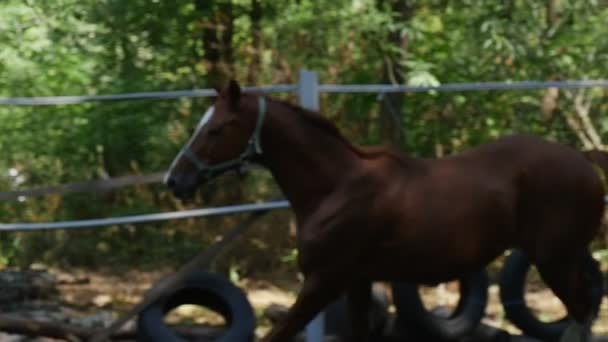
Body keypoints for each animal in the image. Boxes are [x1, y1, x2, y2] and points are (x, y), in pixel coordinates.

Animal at [165, 81, 604, 342]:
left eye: (216, 129)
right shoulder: (357, 282)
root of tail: (584, 161)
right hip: (564, 258)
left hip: (554, 259)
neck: (335, 188)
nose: (175, 180)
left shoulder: (324, 281)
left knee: (581, 311)